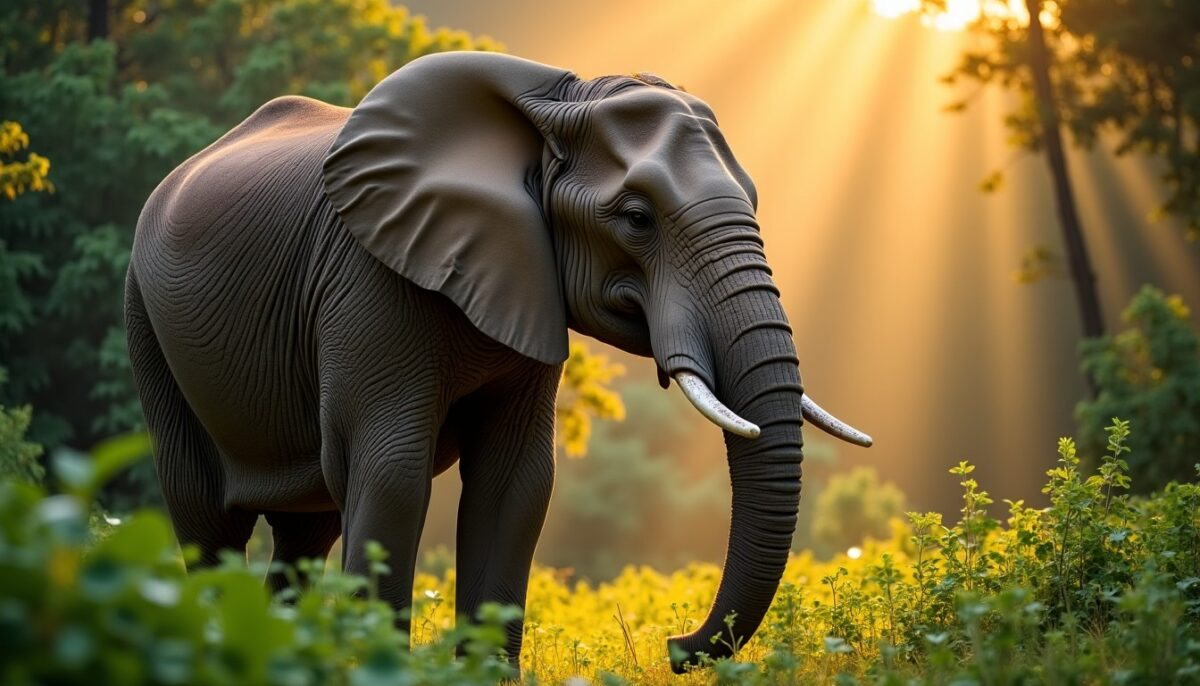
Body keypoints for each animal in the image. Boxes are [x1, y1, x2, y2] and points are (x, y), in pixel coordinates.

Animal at [125, 51, 872, 672]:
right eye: (636, 218)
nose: (674, 646)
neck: (555, 107)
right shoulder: (369, 279)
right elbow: (391, 475)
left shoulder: (529, 284)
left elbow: (516, 484)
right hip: (145, 318)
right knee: (207, 516)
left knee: (306, 529)